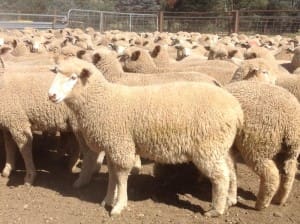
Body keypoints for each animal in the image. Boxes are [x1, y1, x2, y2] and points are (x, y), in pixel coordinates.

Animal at [47, 56, 244, 217]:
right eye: (56, 74)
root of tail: (236, 108)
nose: (51, 95)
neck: (103, 101)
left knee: (221, 177)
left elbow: (121, 176)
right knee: (231, 171)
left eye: (73, 78)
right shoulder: (112, 147)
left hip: (208, 147)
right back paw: (229, 200)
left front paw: (119, 206)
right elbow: (112, 175)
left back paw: (216, 210)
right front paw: (108, 199)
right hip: (221, 146)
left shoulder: (121, 145)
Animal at [225, 81, 300, 210]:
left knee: (271, 175)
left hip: (257, 147)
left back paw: (261, 204)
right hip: (288, 150)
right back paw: (279, 199)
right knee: (289, 173)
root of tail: (289, 122)